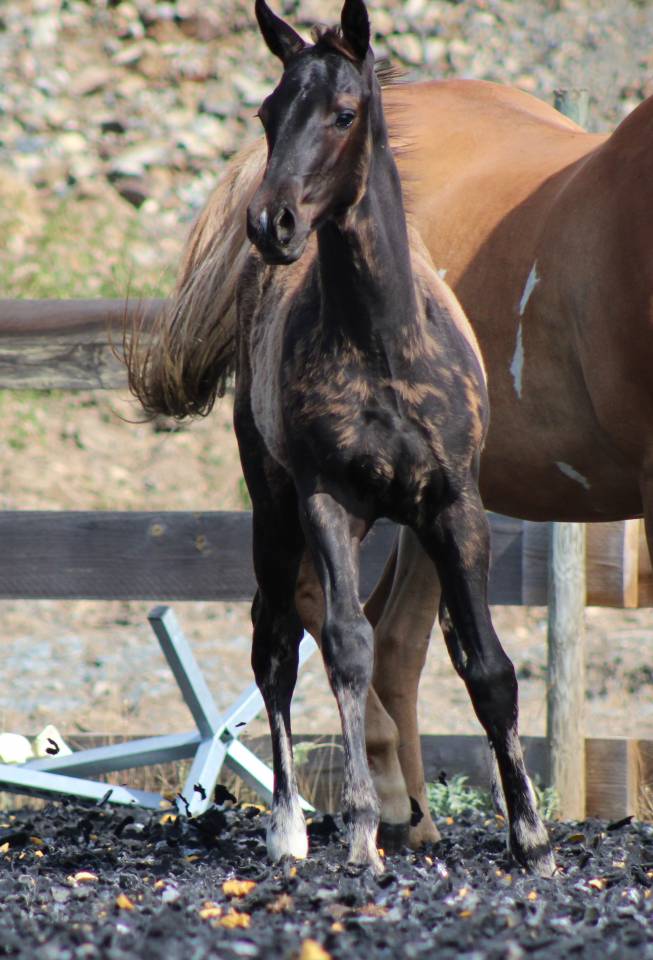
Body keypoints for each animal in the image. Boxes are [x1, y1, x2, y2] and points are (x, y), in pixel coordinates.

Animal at [128, 11, 653, 856]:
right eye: (266, 113)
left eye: (345, 114)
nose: (270, 223)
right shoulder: (329, 499)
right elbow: (341, 645)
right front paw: (358, 830)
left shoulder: (454, 501)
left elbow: (487, 666)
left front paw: (530, 839)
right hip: (282, 509)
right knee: (292, 639)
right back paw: (319, 825)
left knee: (389, 642)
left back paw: (412, 819)